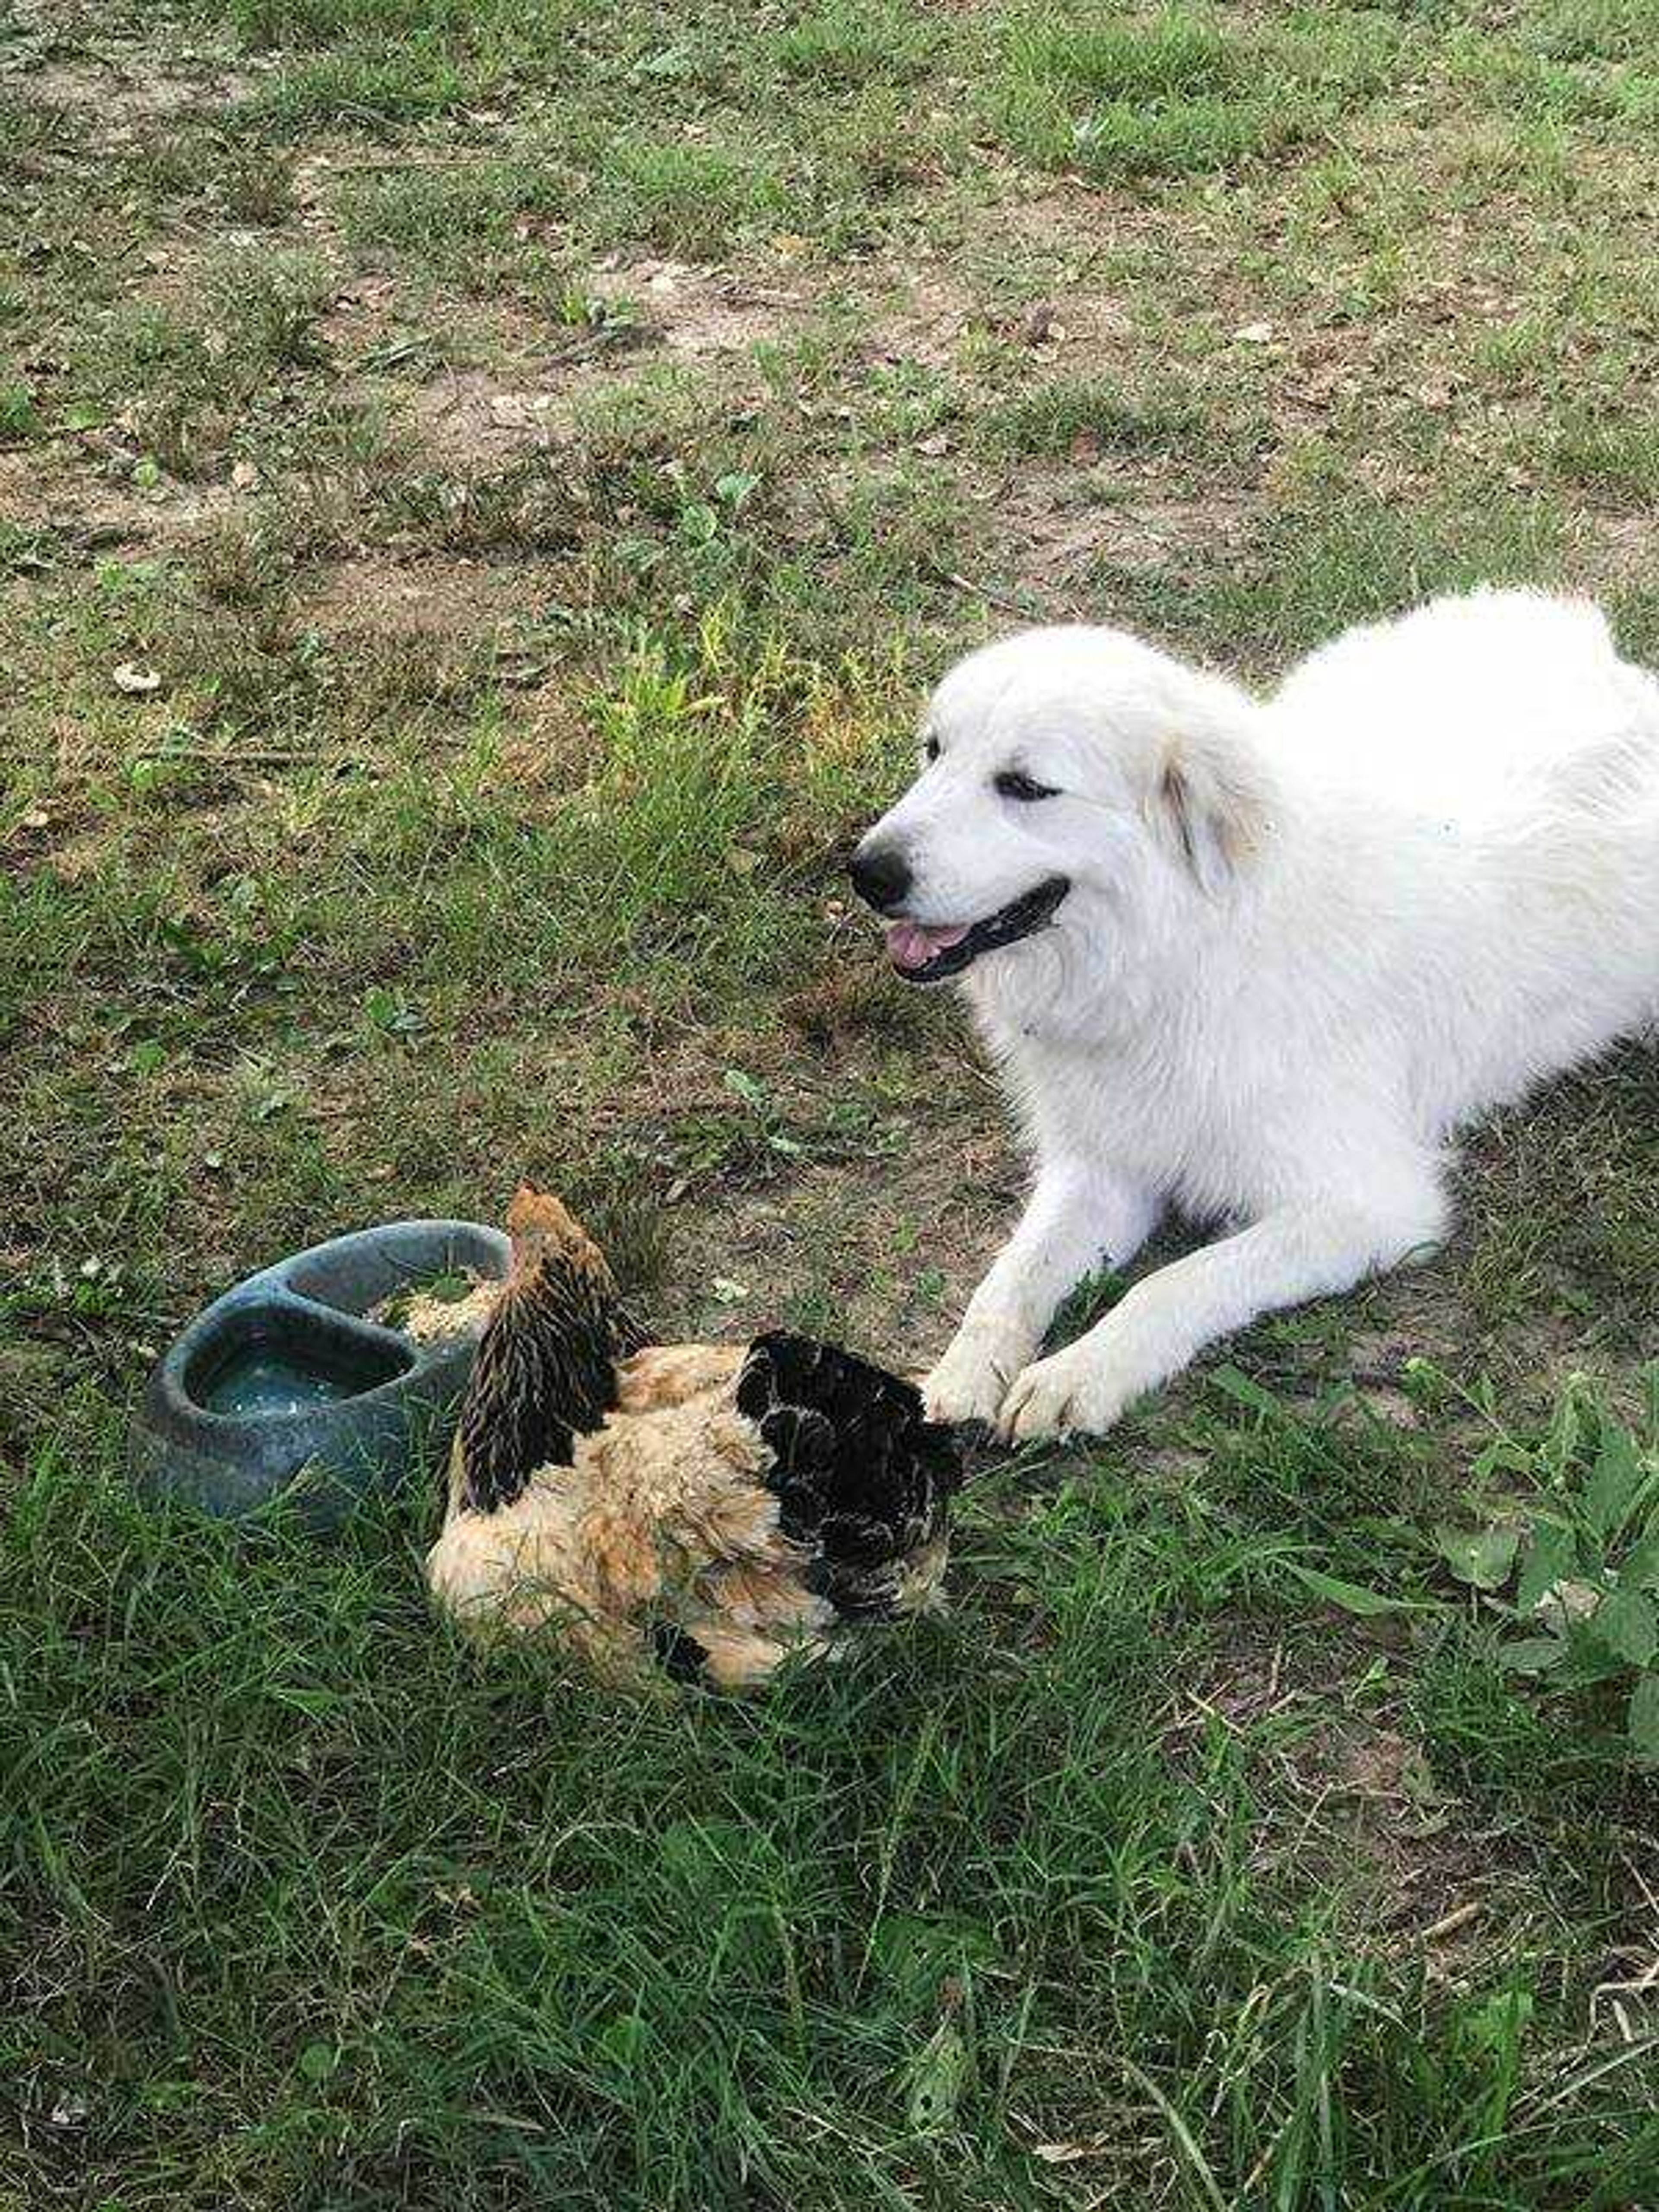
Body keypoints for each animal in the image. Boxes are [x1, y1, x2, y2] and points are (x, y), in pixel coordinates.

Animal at [858, 588, 1659, 1442]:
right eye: (934, 752)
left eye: (1025, 786)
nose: (866, 872)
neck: (1182, 955)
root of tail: (1598, 651)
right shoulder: (1103, 1168)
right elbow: (1012, 1277)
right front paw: (970, 1369)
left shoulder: (1371, 1206)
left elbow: (1174, 1282)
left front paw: (1081, 1373)